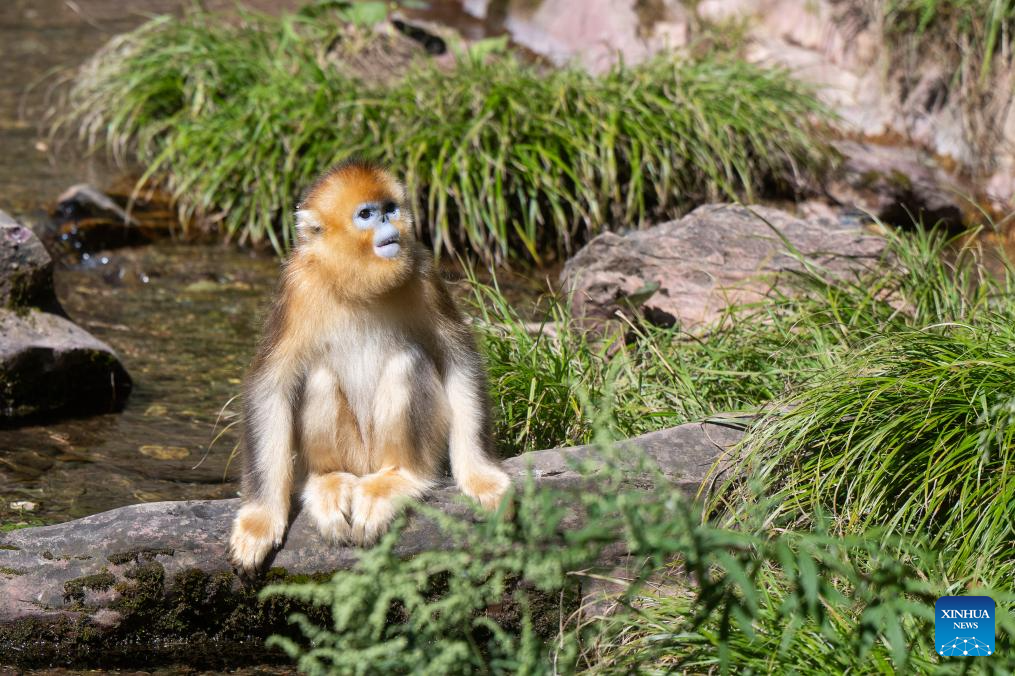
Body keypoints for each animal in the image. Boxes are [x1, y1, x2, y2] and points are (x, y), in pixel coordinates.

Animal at [231, 160, 511, 572]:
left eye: (390, 208)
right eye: (366, 215)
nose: (388, 224)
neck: (356, 286)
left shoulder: (423, 273)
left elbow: (459, 360)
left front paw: (481, 477)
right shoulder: (297, 285)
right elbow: (270, 386)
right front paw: (260, 521)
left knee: (407, 362)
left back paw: (396, 480)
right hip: (353, 453)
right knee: (318, 376)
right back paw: (329, 480)